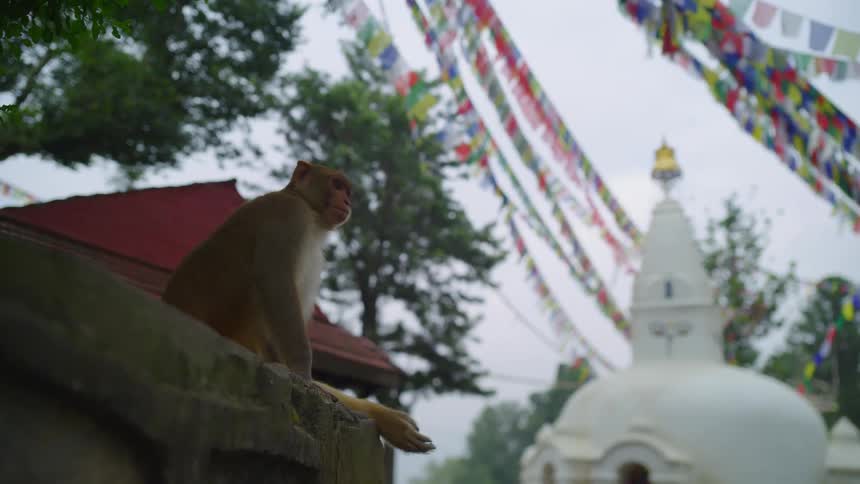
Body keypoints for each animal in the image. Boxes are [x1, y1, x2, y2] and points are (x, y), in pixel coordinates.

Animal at [162, 160, 434, 453]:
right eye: (336, 185)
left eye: (347, 190)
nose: (347, 201)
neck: (306, 208)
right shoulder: (289, 217)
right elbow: (275, 282)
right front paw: (304, 378)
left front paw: (384, 417)